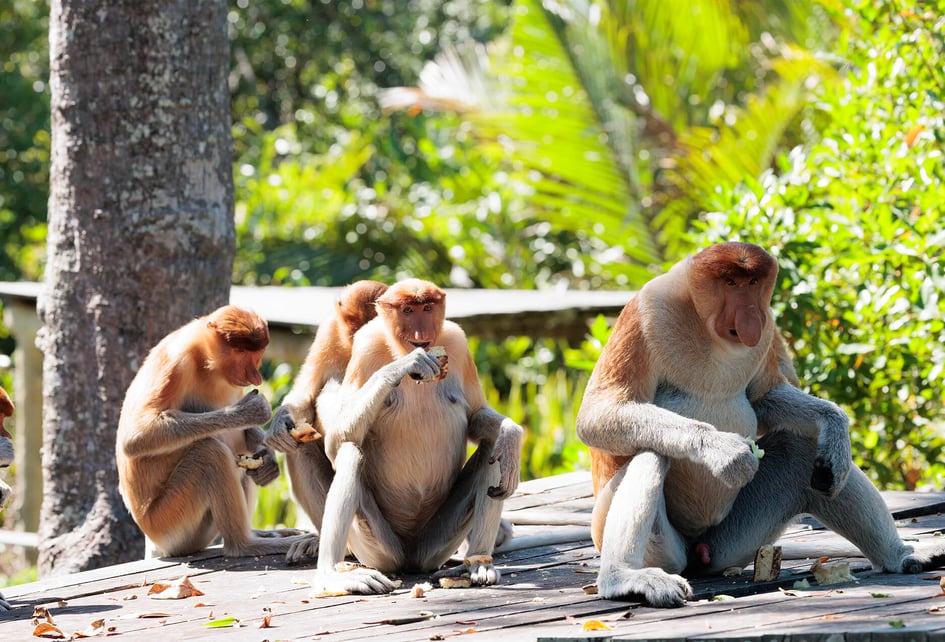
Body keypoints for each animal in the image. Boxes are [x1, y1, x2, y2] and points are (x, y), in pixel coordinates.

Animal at [116, 305, 313, 559]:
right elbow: (135, 437)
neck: (205, 363)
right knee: (210, 453)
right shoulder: (175, 363)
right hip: (169, 523)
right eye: (240, 351)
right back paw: (247, 545)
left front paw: (268, 461)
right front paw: (249, 410)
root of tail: (155, 544)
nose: (256, 376)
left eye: (258, 353)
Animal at [267, 280, 389, 537]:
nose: (359, 337)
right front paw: (279, 424)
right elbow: (308, 389)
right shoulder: (329, 331)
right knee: (299, 448)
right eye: (352, 321)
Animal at [300, 278, 523, 595]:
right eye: (407, 310)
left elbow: (476, 416)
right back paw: (333, 576)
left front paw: (511, 433)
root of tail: (408, 558)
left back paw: (478, 564)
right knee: (350, 452)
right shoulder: (366, 345)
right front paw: (407, 364)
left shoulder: (457, 342)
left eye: (427, 308)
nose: (421, 335)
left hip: (436, 543)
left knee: (493, 449)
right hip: (377, 547)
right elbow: (336, 441)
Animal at [576, 242, 942, 608]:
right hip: (653, 545)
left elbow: (765, 398)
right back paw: (624, 579)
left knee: (799, 450)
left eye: (753, 283)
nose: (751, 314)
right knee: (652, 453)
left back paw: (903, 556)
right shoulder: (646, 314)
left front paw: (836, 430)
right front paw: (724, 451)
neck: (706, 330)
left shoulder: (766, 334)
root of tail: (696, 551)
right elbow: (597, 415)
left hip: (732, 540)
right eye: (730, 283)